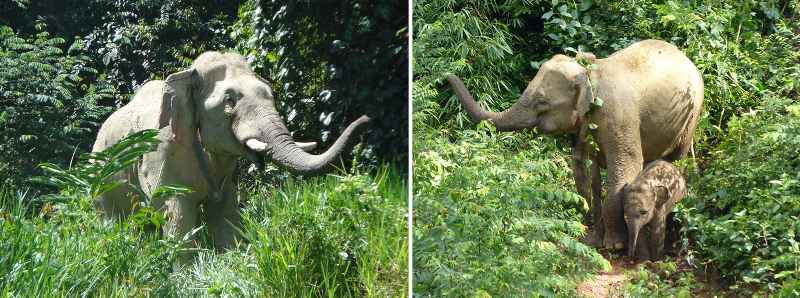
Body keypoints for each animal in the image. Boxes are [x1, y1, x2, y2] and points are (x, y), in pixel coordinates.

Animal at [93, 51, 372, 251]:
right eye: (230, 101)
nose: (366, 119)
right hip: (102, 184)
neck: (187, 74)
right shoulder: (161, 155)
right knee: (114, 222)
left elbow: (225, 214)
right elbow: (176, 216)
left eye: (271, 95)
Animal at [446, 38, 704, 250]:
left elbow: (625, 167)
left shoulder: (619, 117)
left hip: (692, 114)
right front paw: (590, 236)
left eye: (541, 101)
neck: (589, 72)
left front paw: (614, 246)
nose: (446, 74)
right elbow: (581, 167)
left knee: (675, 157)